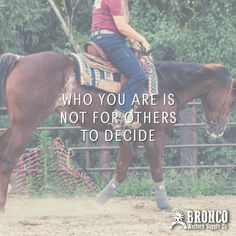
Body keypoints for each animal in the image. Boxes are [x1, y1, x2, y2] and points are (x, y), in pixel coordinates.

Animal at [0, 51, 235, 212]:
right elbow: (156, 166)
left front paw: (98, 200)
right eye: (231, 98)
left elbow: (121, 167)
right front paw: (164, 203)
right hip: (25, 125)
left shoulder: (132, 134)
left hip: (15, 124)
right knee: (8, 159)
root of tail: (20, 60)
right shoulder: (155, 133)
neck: (167, 85)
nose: (219, 129)